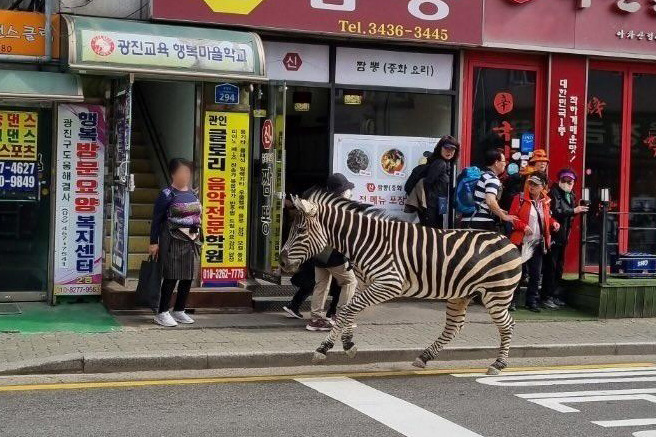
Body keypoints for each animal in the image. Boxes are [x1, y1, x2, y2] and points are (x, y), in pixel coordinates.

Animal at [280, 188, 524, 374]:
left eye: (300, 230)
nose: (281, 261)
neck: (366, 241)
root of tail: (507, 240)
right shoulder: (365, 283)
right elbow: (348, 309)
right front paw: (347, 344)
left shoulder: (389, 283)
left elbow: (347, 309)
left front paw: (325, 348)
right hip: (461, 294)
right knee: (454, 326)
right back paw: (424, 357)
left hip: (497, 294)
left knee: (507, 325)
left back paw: (498, 364)